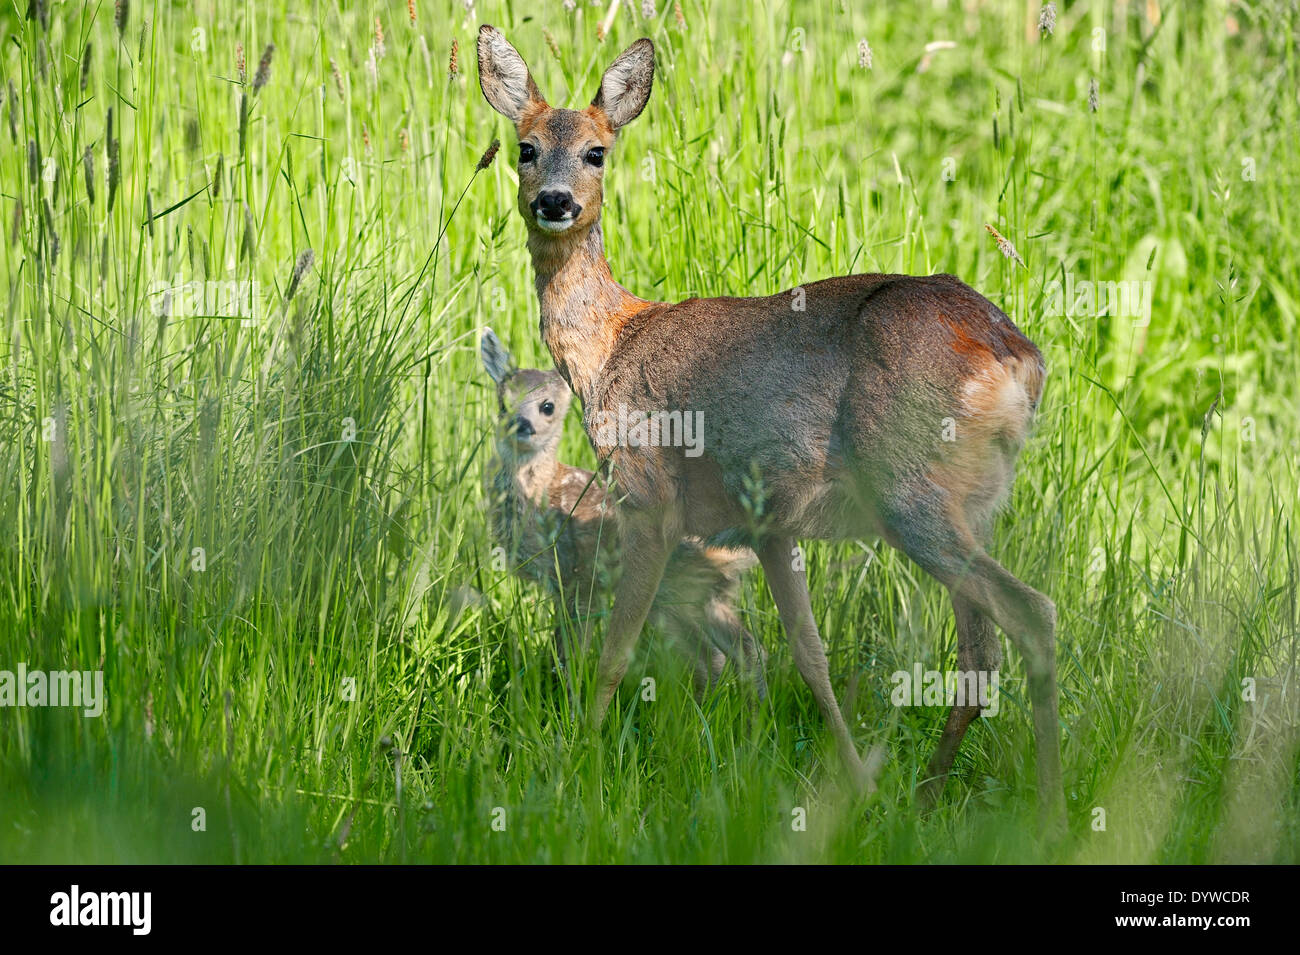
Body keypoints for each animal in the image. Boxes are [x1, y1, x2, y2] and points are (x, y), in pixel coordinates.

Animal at [478, 24, 1066, 831]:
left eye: (598, 150)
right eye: (526, 146)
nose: (556, 202)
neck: (610, 347)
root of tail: (1017, 356)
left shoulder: (650, 496)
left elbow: (616, 651)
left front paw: (578, 764)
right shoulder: (768, 523)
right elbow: (809, 656)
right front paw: (856, 786)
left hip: (908, 490)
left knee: (1033, 614)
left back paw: (1052, 808)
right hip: (970, 502)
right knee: (981, 654)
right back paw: (926, 796)